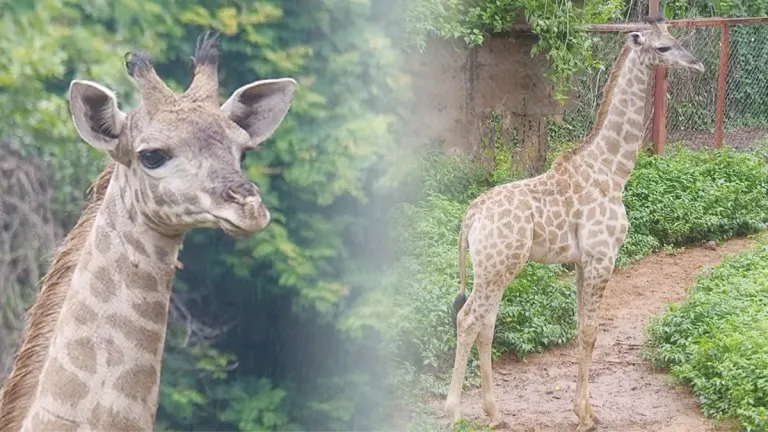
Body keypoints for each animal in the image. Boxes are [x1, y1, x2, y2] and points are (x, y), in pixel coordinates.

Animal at [445, 17, 704, 432]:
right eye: (663, 48)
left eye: (676, 38)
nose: (696, 64)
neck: (613, 172)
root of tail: (471, 216)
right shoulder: (602, 256)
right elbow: (590, 331)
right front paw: (585, 415)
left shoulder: (583, 261)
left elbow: (584, 329)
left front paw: (585, 410)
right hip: (497, 267)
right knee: (468, 319)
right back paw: (453, 411)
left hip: (495, 268)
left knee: (486, 324)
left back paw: (495, 412)